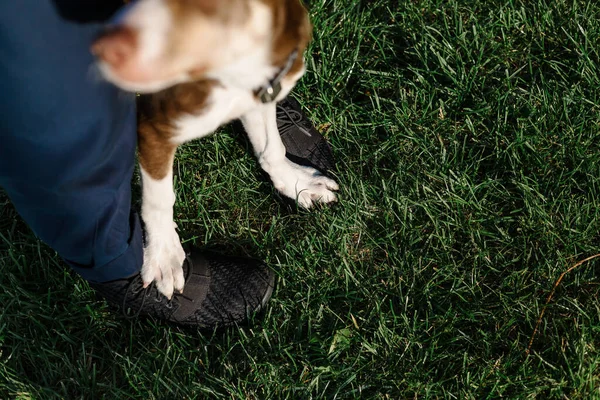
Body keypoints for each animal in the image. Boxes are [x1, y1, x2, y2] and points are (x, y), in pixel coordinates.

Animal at [92, 0, 340, 296]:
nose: (104, 46)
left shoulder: (260, 92)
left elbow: (272, 147)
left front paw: (297, 183)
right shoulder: (154, 127)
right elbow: (159, 199)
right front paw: (163, 253)